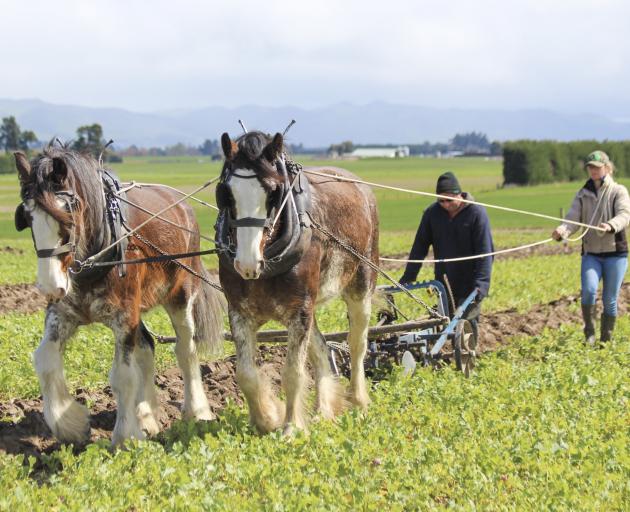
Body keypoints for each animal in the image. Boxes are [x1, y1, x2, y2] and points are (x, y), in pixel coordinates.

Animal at [13, 146, 226, 446]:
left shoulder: (125, 317)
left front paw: (125, 436)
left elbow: (122, 376)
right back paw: (147, 415)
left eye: (68, 213)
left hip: (181, 295)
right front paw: (70, 423)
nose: (50, 286)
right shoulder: (63, 313)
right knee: (147, 347)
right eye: (28, 216)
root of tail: (182, 205)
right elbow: (45, 360)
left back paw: (197, 411)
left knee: (186, 350)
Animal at [216, 132, 380, 436]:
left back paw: (359, 402)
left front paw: (291, 427)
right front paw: (266, 418)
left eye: (272, 192)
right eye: (226, 193)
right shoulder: (240, 312)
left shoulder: (299, 311)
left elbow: (292, 371)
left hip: (362, 284)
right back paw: (322, 410)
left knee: (357, 344)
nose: (247, 263)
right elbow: (245, 373)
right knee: (321, 349)